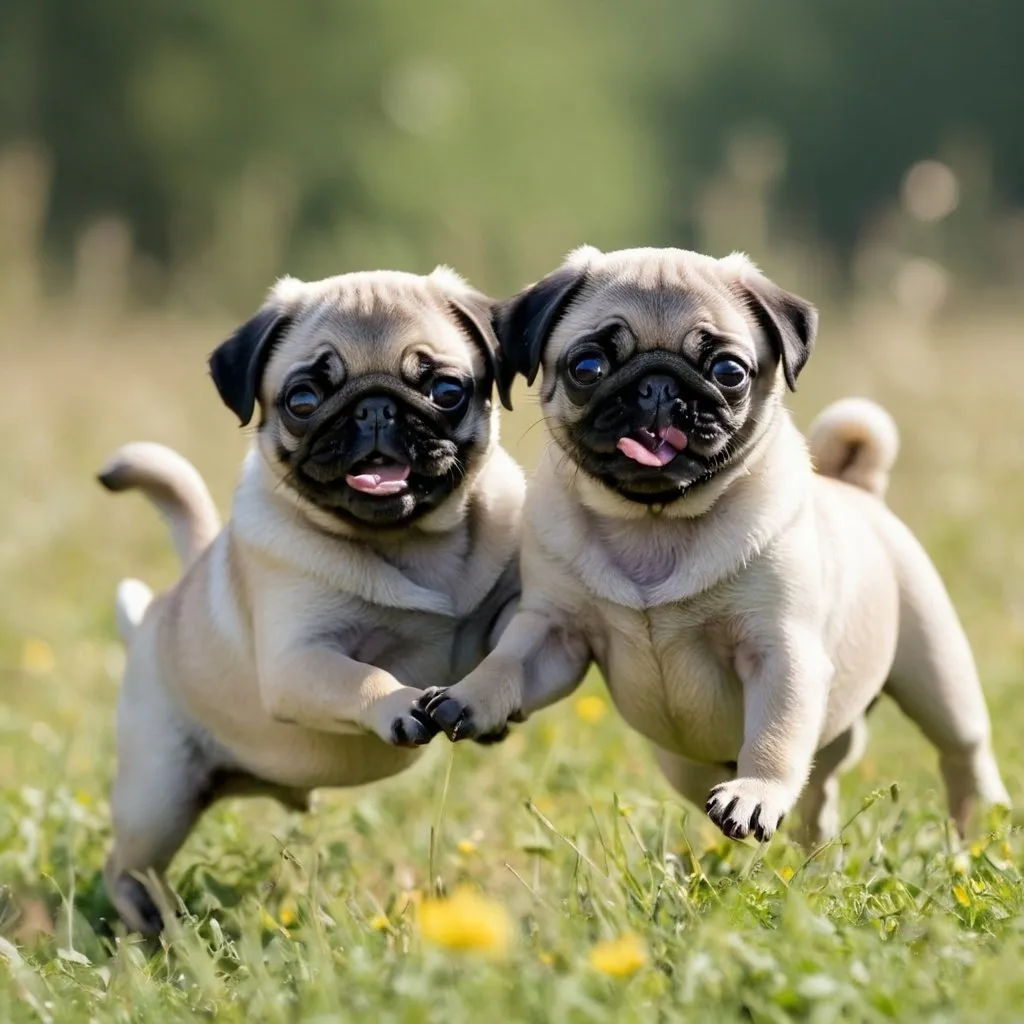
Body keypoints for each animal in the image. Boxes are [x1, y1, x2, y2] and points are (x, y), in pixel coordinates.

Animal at [98, 266, 524, 937]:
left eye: (446, 389)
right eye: (303, 400)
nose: (375, 408)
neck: (410, 543)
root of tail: (151, 620)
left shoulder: (508, 602)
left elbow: (510, 640)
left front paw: (486, 700)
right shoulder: (300, 662)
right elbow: (363, 676)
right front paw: (399, 704)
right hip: (157, 797)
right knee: (124, 866)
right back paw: (150, 923)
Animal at [413, 245, 1007, 839]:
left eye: (729, 372)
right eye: (587, 368)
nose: (656, 386)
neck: (653, 522)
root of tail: (856, 485)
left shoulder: (781, 651)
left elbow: (774, 739)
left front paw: (755, 793)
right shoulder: (554, 632)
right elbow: (507, 664)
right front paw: (468, 697)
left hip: (937, 673)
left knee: (962, 751)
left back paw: (979, 826)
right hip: (686, 762)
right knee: (815, 795)